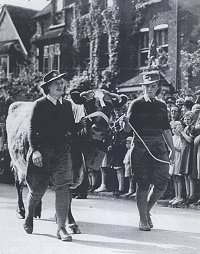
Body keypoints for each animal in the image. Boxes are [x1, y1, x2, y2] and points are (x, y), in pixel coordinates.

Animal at [6, 89, 128, 232]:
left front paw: (62, 218)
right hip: (17, 164)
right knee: (19, 185)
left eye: (110, 106)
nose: (98, 130)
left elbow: (66, 195)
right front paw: (70, 221)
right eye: (88, 105)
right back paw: (21, 211)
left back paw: (36, 211)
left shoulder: (76, 171)